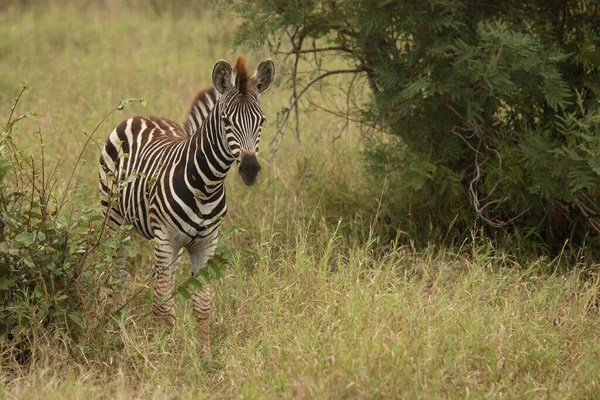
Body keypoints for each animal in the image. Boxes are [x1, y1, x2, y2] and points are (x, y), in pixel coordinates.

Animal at [99, 55, 276, 354]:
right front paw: (166, 353)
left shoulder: (205, 244)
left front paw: (203, 355)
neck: (206, 184)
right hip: (114, 219)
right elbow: (164, 306)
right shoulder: (165, 238)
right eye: (226, 120)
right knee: (117, 272)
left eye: (261, 120)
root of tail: (143, 117)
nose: (251, 170)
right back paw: (113, 322)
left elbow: (201, 304)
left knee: (163, 281)